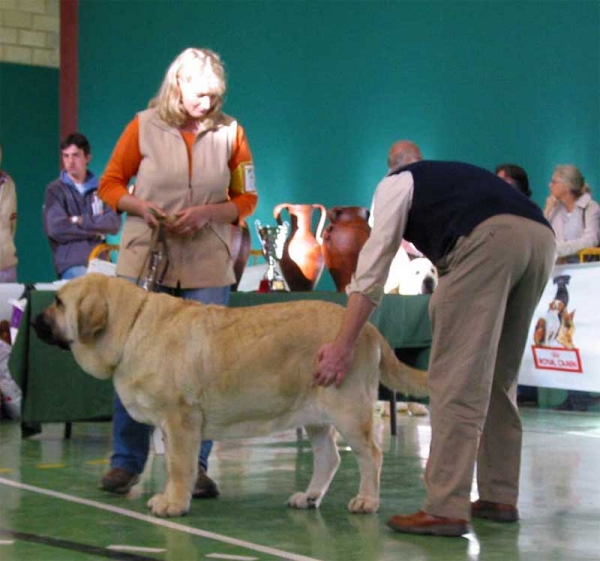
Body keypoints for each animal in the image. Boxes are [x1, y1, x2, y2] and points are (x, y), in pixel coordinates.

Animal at [32, 272, 426, 516]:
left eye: (59, 303)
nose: (35, 320)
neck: (131, 325)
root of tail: (369, 328)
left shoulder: (180, 419)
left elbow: (179, 466)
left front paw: (173, 504)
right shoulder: (171, 427)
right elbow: (177, 464)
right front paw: (174, 497)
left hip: (349, 413)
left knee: (371, 456)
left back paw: (366, 501)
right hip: (315, 416)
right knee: (329, 458)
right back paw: (309, 496)